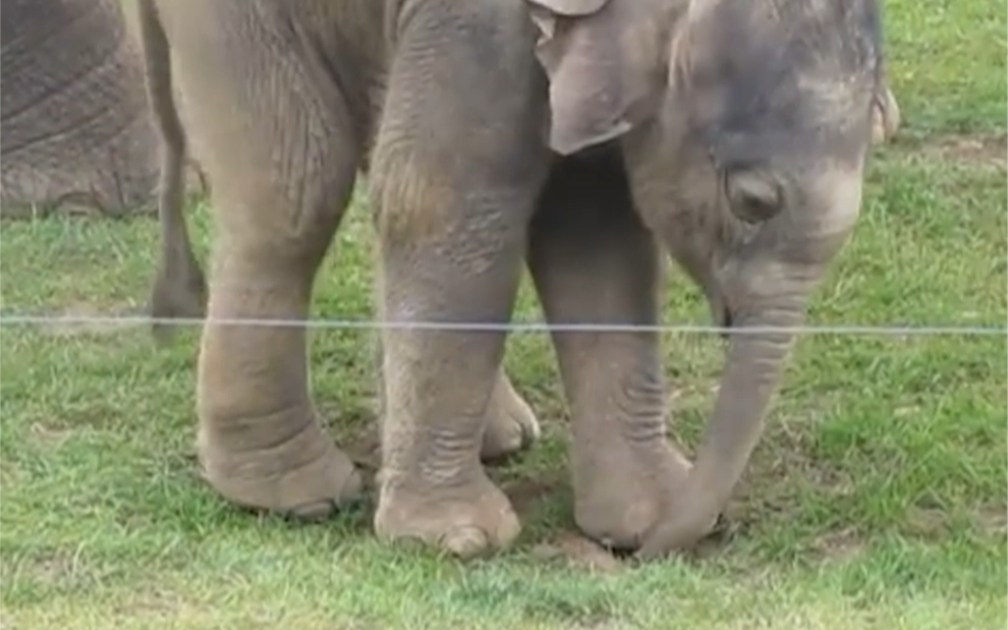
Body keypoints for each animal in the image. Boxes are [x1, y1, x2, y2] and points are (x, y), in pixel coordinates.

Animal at [140, 0, 891, 560]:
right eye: (751, 200)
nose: (662, 549)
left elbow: (597, 230)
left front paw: (638, 518)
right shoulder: (476, 25)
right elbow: (443, 203)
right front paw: (457, 541)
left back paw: (496, 439)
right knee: (294, 195)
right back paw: (295, 496)